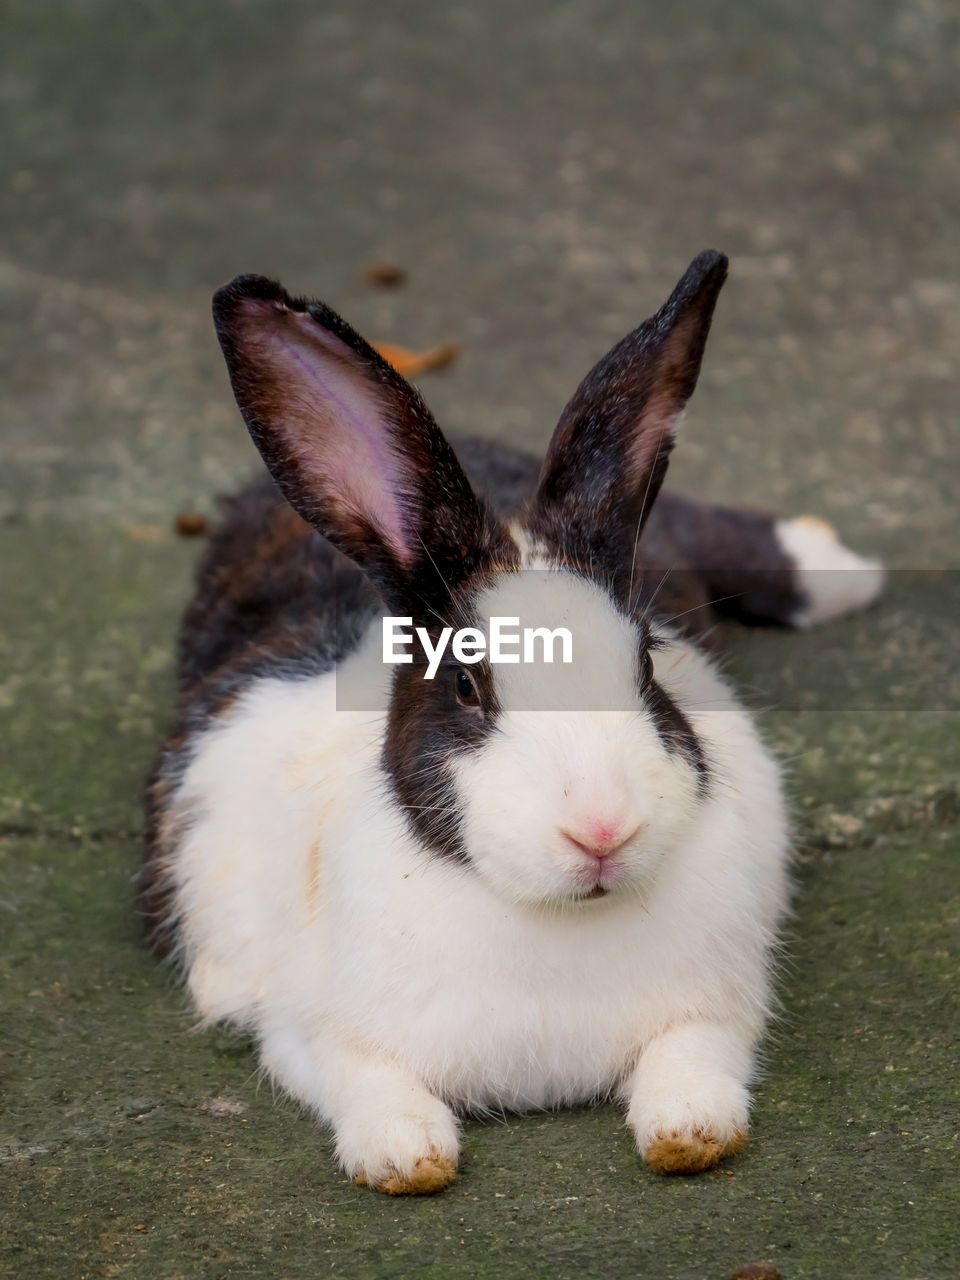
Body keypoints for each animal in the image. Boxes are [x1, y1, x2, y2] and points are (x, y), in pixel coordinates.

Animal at [138, 254, 885, 1192]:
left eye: (647, 664)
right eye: (465, 685)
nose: (601, 829)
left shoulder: (720, 1007)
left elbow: (694, 1065)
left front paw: (688, 1130)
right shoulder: (306, 1033)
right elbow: (364, 1083)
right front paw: (406, 1155)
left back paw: (843, 567)